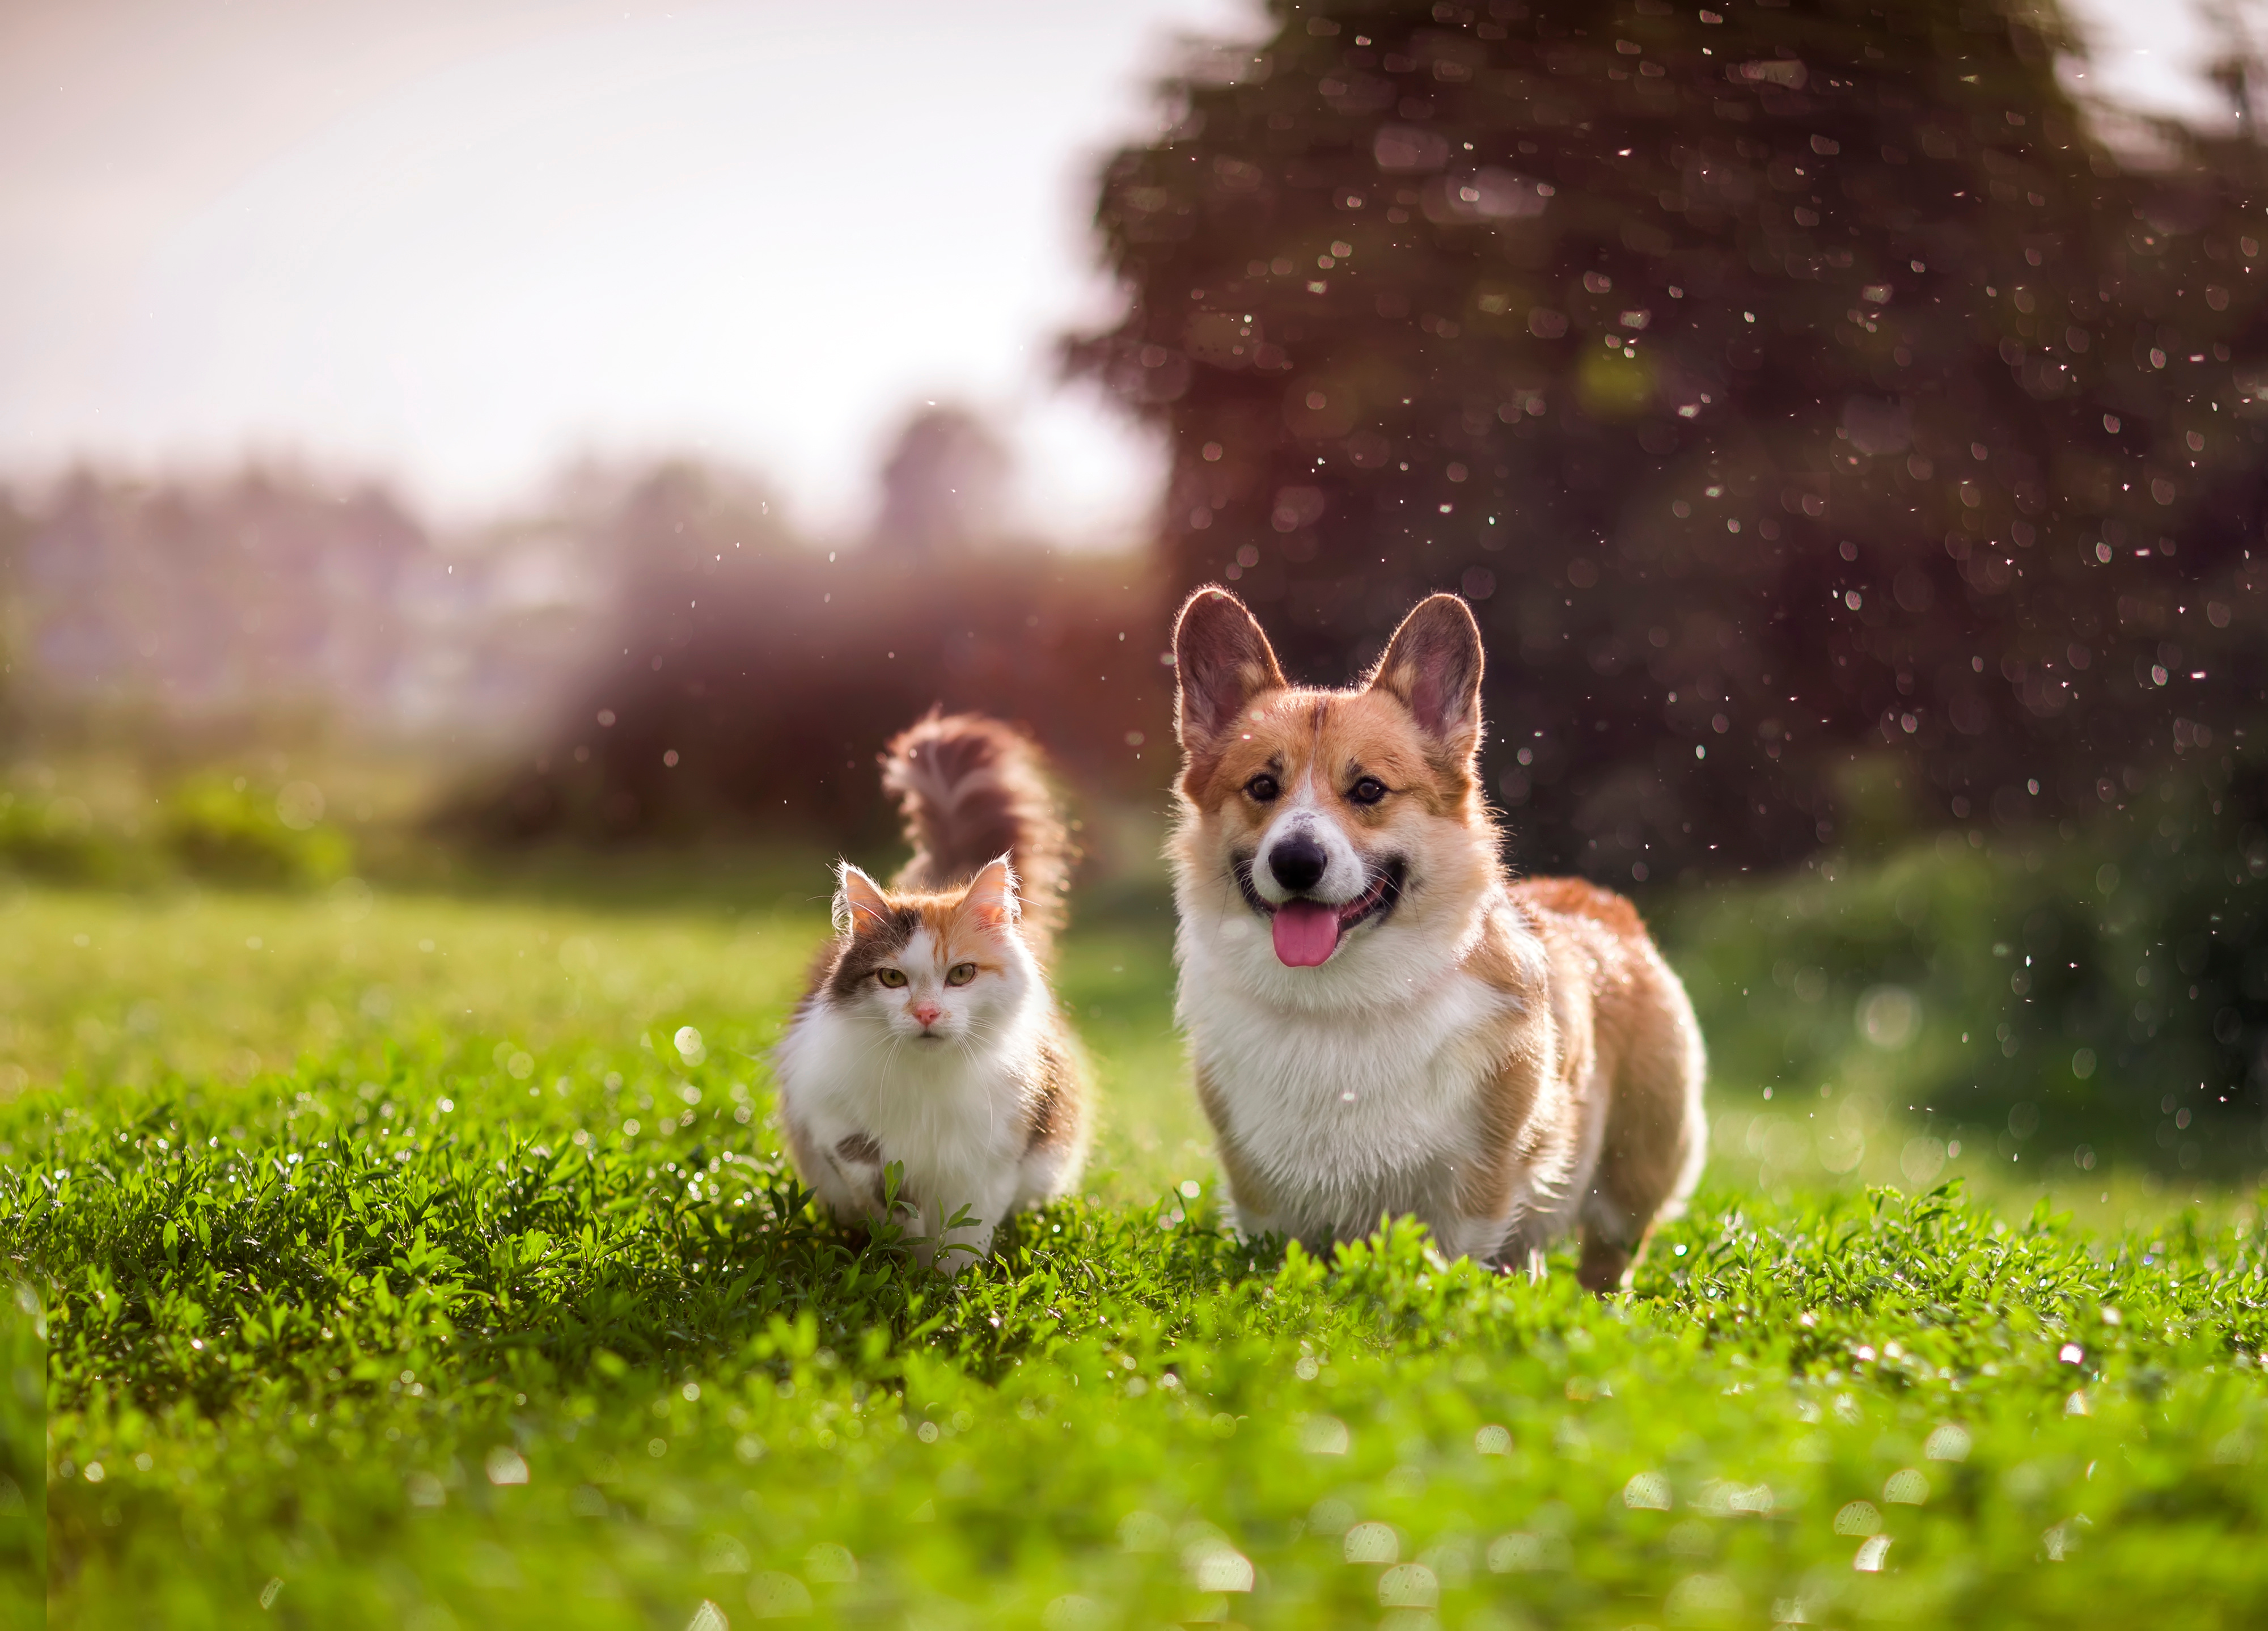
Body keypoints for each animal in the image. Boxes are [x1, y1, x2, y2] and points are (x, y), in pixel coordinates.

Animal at [776, 717, 1093, 1279]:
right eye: (892, 979)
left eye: (961, 975)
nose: (926, 1012)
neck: (928, 1083)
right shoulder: (825, 1112)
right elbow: (875, 1178)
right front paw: (904, 1253)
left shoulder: (992, 1156)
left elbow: (964, 1237)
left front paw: (945, 1287)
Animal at [1170, 585, 1706, 1288]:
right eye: (1262, 785)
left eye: (1368, 788)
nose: (1295, 861)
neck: (1338, 1001)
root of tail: (1601, 902)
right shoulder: (1261, 1196)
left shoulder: (1476, 1189)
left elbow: (1454, 1261)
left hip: (1630, 1178)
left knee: (1606, 1258)